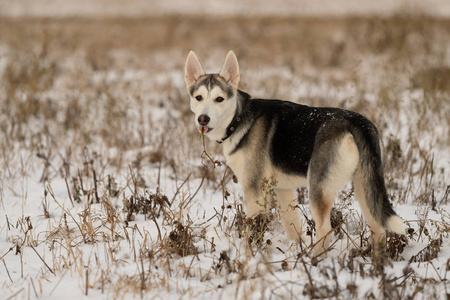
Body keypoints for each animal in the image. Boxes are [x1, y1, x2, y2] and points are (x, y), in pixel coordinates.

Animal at [185, 50, 406, 254]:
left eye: (219, 99)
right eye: (198, 97)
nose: (203, 119)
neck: (237, 119)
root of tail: (355, 122)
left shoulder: (254, 189)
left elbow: (253, 228)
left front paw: (251, 256)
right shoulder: (283, 190)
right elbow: (293, 227)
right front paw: (294, 250)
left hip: (318, 188)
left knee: (325, 230)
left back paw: (315, 260)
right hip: (365, 186)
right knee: (378, 227)